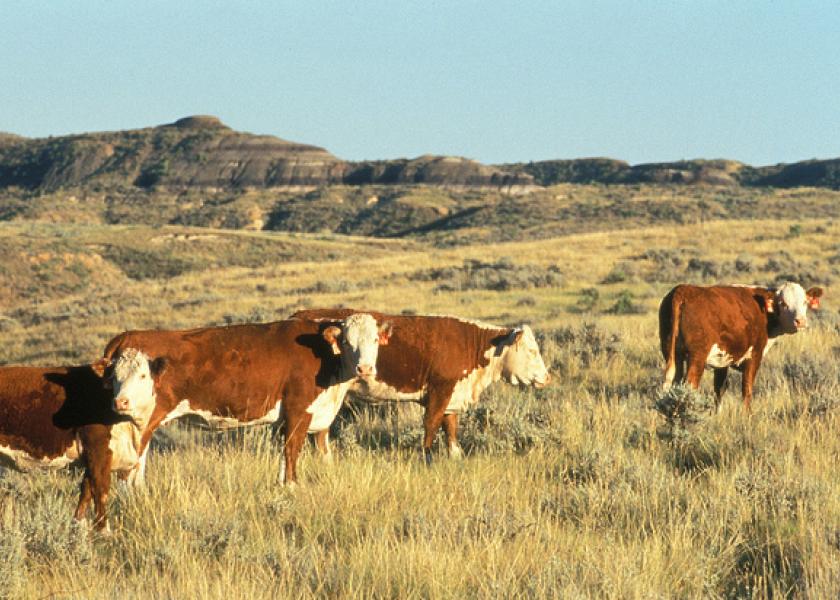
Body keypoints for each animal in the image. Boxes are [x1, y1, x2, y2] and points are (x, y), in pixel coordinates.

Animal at [0, 358, 141, 528]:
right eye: (114, 377)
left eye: (143, 375)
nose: (122, 402)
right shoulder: (97, 449)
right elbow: (100, 489)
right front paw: (103, 530)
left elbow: (86, 490)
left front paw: (79, 525)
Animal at [294, 310, 552, 464]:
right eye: (532, 351)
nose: (547, 377)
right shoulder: (440, 390)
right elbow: (431, 424)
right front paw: (428, 458)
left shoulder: (452, 396)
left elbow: (450, 426)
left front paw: (455, 456)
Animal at [660, 284, 824, 410]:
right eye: (783, 303)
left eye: (805, 302)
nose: (800, 321)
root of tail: (683, 290)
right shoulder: (754, 355)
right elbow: (747, 389)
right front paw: (747, 416)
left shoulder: (722, 360)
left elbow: (719, 389)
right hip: (697, 356)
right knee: (689, 385)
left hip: (672, 353)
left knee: (673, 383)